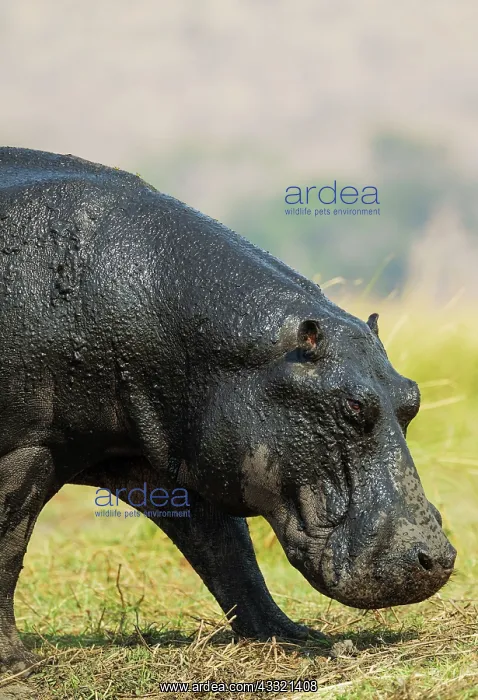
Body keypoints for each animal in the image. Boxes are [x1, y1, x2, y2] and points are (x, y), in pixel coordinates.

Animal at [0, 147, 456, 673]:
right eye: (353, 404)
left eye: (412, 397)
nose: (437, 559)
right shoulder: (29, 447)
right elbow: (8, 544)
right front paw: (17, 662)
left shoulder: (175, 458)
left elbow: (227, 551)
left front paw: (293, 635)